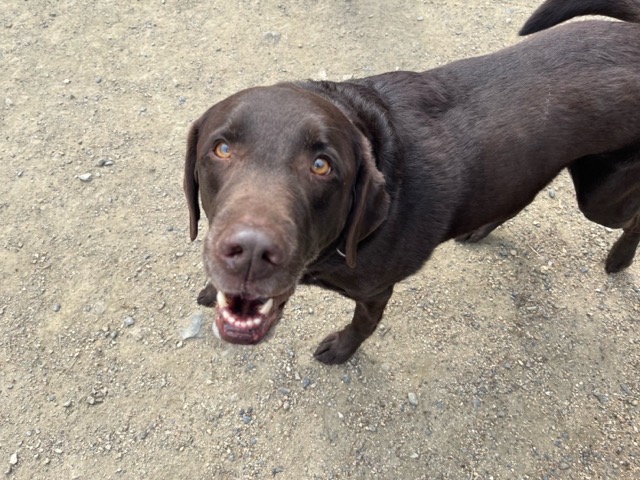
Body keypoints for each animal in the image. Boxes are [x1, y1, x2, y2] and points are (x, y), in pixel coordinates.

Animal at [184, 0, 640, 364]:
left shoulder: (375, 293)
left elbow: (363, 326)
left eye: (321, 165)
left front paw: (341, 350)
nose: (250, 253)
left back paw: (619, 259)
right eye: (221, 149)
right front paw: (210, 287)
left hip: (600, 197)